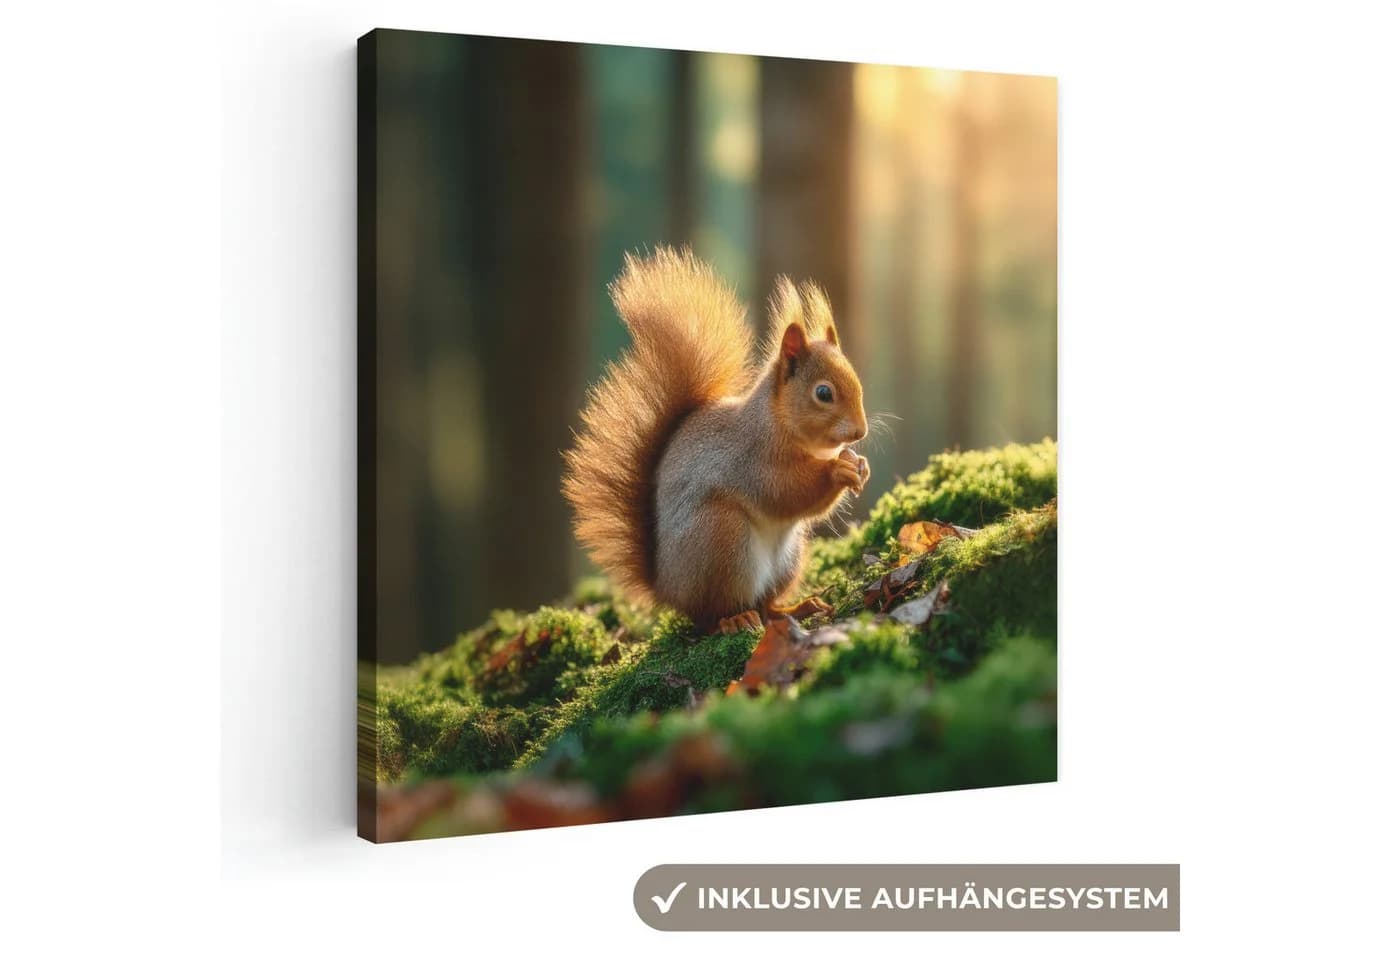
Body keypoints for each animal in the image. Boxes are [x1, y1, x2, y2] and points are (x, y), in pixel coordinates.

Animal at [563, 247, 869, 635]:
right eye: (824, 393)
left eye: (857, 381)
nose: (860, 432)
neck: (777, 422)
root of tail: (666, 588)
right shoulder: (752, 459)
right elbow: (786, 492)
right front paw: (837, 471)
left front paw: (859, 465)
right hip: (721, 540)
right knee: (711, 615)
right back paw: (734, 619)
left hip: (788, 559)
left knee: (766, 605)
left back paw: (795, 608)